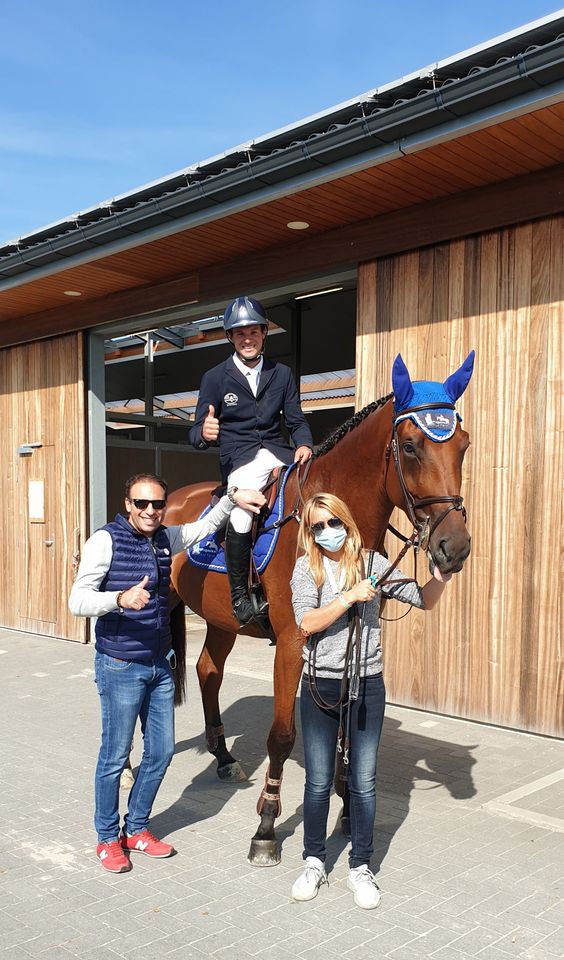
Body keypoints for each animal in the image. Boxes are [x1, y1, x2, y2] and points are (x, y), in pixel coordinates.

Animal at [165, 352, 474, 864]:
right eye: (410, 447)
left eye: (463, 446)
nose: (455, 547)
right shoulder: (293, 642)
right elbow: (282, 735)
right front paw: (267, 827)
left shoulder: (355, 637)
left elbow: (349, 727)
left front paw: (348, 809)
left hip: (221, 621)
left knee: (208, 670)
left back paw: (224, 757)